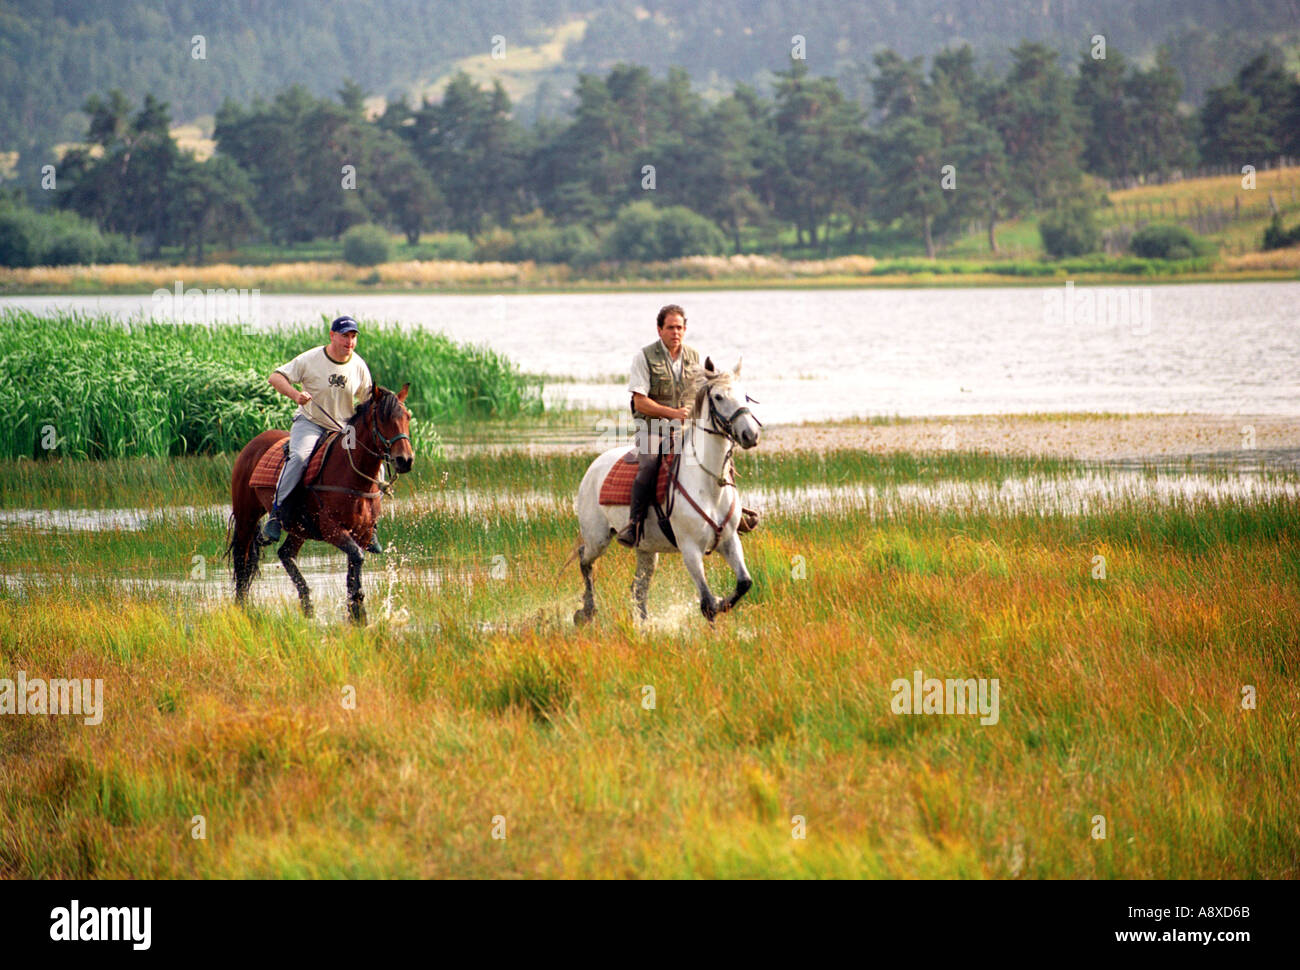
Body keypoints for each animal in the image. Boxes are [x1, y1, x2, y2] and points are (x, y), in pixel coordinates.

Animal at [226, 379, 413, 618]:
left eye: (407, 416)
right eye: (383, 418)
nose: (405, 460)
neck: (352, 476)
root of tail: (253, 444)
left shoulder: (362, 533)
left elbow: (354, 566)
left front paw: (356, 610)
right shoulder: (331, 529)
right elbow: (357, 558)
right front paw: (357, 606)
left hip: (299, 528)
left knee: (285, 554)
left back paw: (307, 604)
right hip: (246, 516)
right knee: (243, 562)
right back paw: (241, 606)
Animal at [569, 358, 759, 624]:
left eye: (746, 396)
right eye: (718, 396)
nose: (750, 435)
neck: (709, 485)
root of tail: (594, 466)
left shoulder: (730, 540)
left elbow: (744, 583)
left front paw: (724, 603)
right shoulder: (690, 549)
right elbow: (707, 603)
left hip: (645, 548)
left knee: (638, 587)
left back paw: (642, 624)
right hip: (598, 537)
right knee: (584, 559)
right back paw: (585, 612)